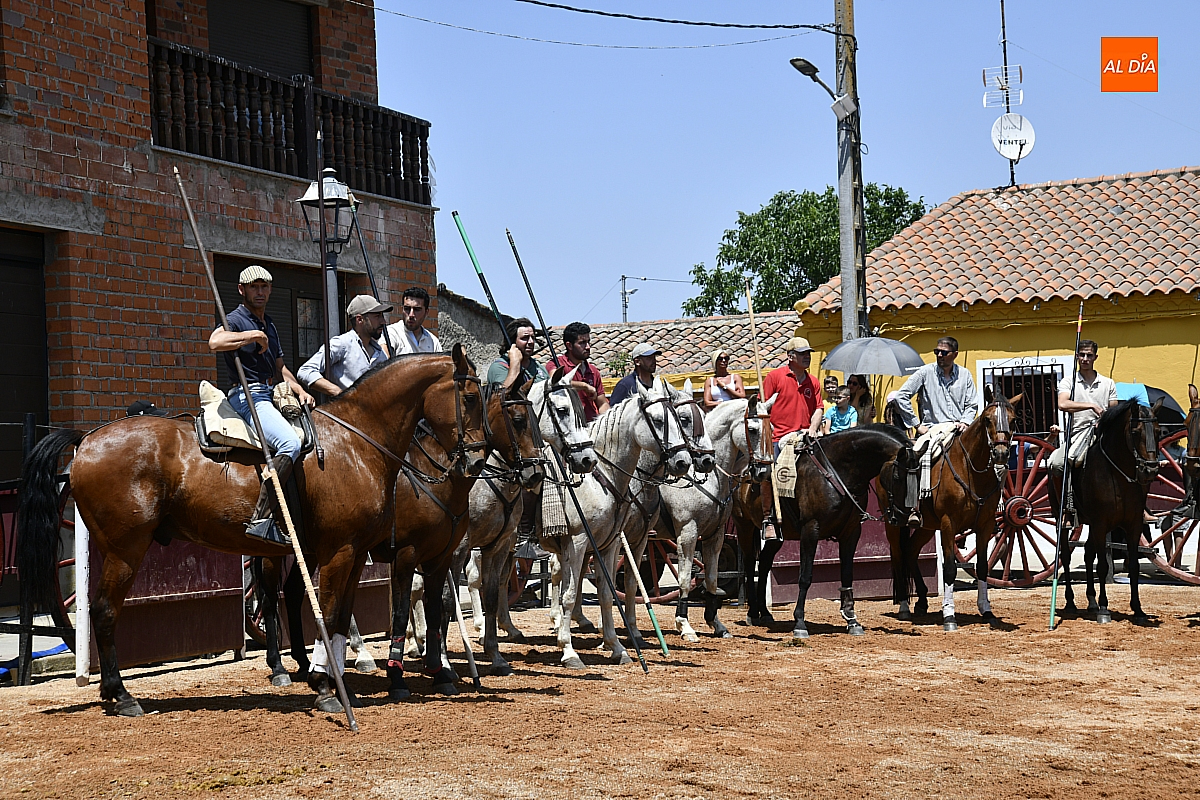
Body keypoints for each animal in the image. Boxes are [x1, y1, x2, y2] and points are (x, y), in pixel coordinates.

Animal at [17, 348, 486, 716]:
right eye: (470, 396)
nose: (477, 460)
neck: (356, 442)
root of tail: (87, 438)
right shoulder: (342, 552)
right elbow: (330, 612)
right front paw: (326, 689)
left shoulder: (353, 555)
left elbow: (337, 619)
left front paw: (335, 683)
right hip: (123, 549)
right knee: (104, 611)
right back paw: (122, 695)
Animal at [544, 378, 692, 667]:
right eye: (658, 420)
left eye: (678, 420)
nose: (684, 461)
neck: (600, 478)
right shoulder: (578, 542)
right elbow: (570, 593)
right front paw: (569, 651)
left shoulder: (613, 543)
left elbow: (611, 590)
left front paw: (618, 645)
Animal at [734, 425, 913, 638]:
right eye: (897, 476)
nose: (903, 516)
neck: (838, 471)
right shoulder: (811, 530)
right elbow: (805, 577)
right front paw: (800, 623)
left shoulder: (851, 532)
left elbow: (847, 574)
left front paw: (852, 620)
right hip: (744, 526)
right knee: (749, 564)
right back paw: (753, 613)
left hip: (776, 538)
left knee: (764, 564)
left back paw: (765, 613)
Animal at [879, 396, 1022, 632]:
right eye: (987, 419)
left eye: (1013, 420)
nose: (1001, 454)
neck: (970, 470)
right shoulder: (949, 524)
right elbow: (949, 570)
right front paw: (949, 616)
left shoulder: (984, 525)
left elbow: (982, 566)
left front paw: (987, 611)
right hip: (893, 523)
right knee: (899, 555)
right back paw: (904, 607)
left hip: (927, 527)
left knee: (910, 551)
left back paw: (922, 602)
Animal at [1059, 397, 1162, 623]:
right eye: (1135, 431)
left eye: (1159, 431)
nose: (1150, 469)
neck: (1117, 474)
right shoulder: (1101, 523)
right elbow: (1103, 566)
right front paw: (1104, 609)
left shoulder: (1132, 526)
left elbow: (1134, 566)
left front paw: (1138, 610)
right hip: (1062, 520)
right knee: (1066, 556)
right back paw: (1071, 602)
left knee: (1088, 553)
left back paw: (1091, 601)